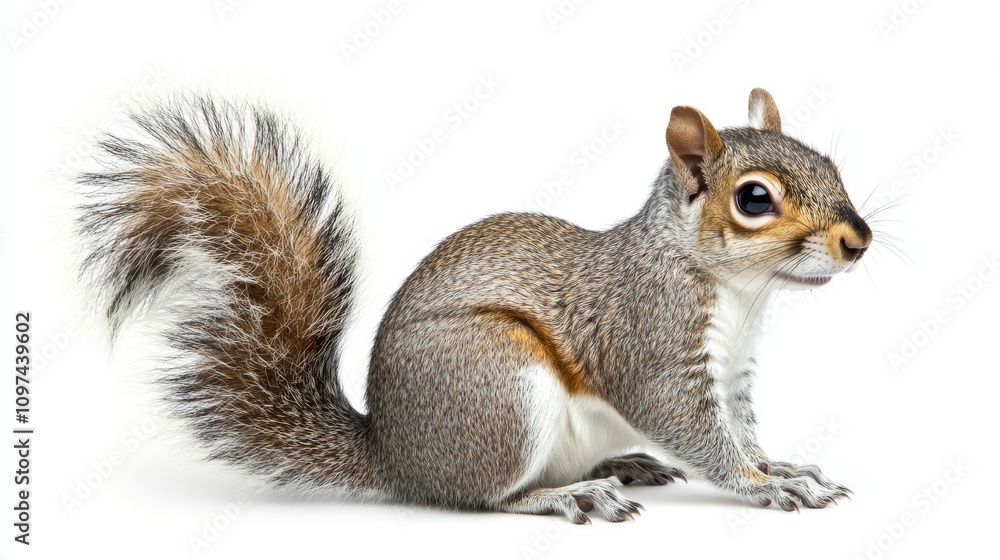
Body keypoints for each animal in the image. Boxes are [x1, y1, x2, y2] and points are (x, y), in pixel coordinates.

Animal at [77, 88, 870, 524]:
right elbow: (695, 429)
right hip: (495, 382)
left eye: (832, 167)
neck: (736, 295)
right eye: (755, 199)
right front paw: (760, 487)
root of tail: (396, 456)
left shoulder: (732, 372)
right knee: (479, 498)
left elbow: (742, 428)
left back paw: (617, 468)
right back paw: (570, 498)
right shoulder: (651, 340)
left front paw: (781, 467)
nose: (858, 240)